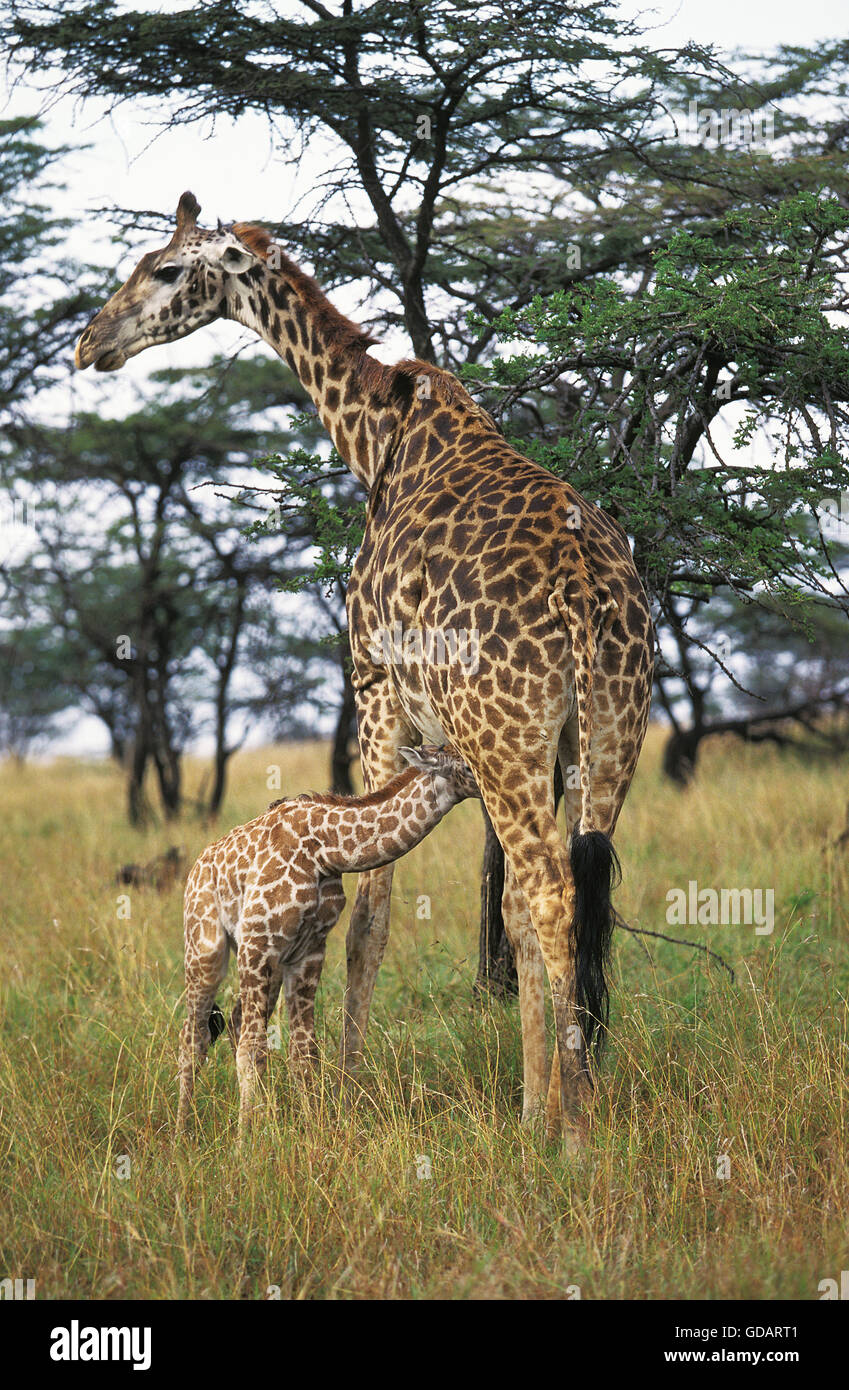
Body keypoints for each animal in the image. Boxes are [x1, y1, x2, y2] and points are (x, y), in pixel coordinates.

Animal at [177, 750, 477, 1128]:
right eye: (466, 765)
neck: (326, 850)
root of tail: (195, 868)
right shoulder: (257, 939)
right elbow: (253, 1046)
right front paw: (248, 1138)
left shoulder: (308, 950)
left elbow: (304, 1050)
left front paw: (310, 1129)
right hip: (205, 949)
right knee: (194, 1037)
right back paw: (184, 1130)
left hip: (270, 966)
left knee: (231, 1025)